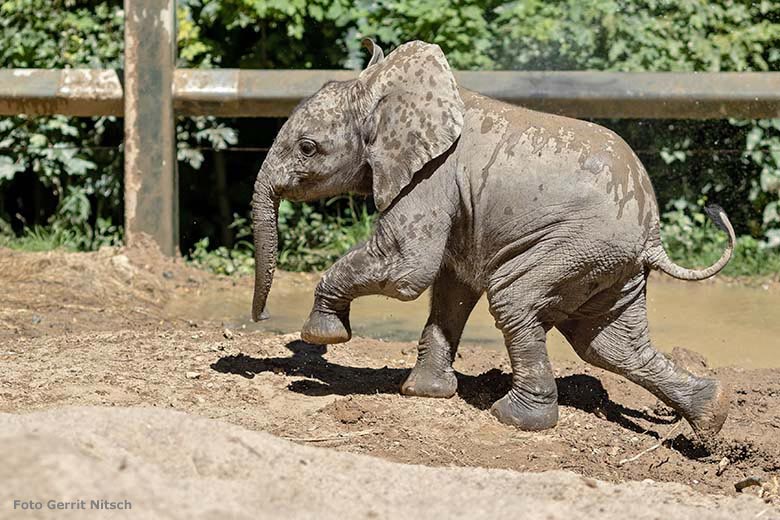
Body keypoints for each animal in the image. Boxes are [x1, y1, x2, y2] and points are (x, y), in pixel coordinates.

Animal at [250, 39, 732, 438]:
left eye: (307, 148)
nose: (261, 317)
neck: (384, 91)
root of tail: (653, 232)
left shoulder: (431, 176)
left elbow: (406, 269)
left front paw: (323, 336)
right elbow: (450, 287)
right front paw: (423, 393)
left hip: (578, 244)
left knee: (516, 301)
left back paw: (515, 419)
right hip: (612, 264)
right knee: (607, 344)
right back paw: (712, 417)